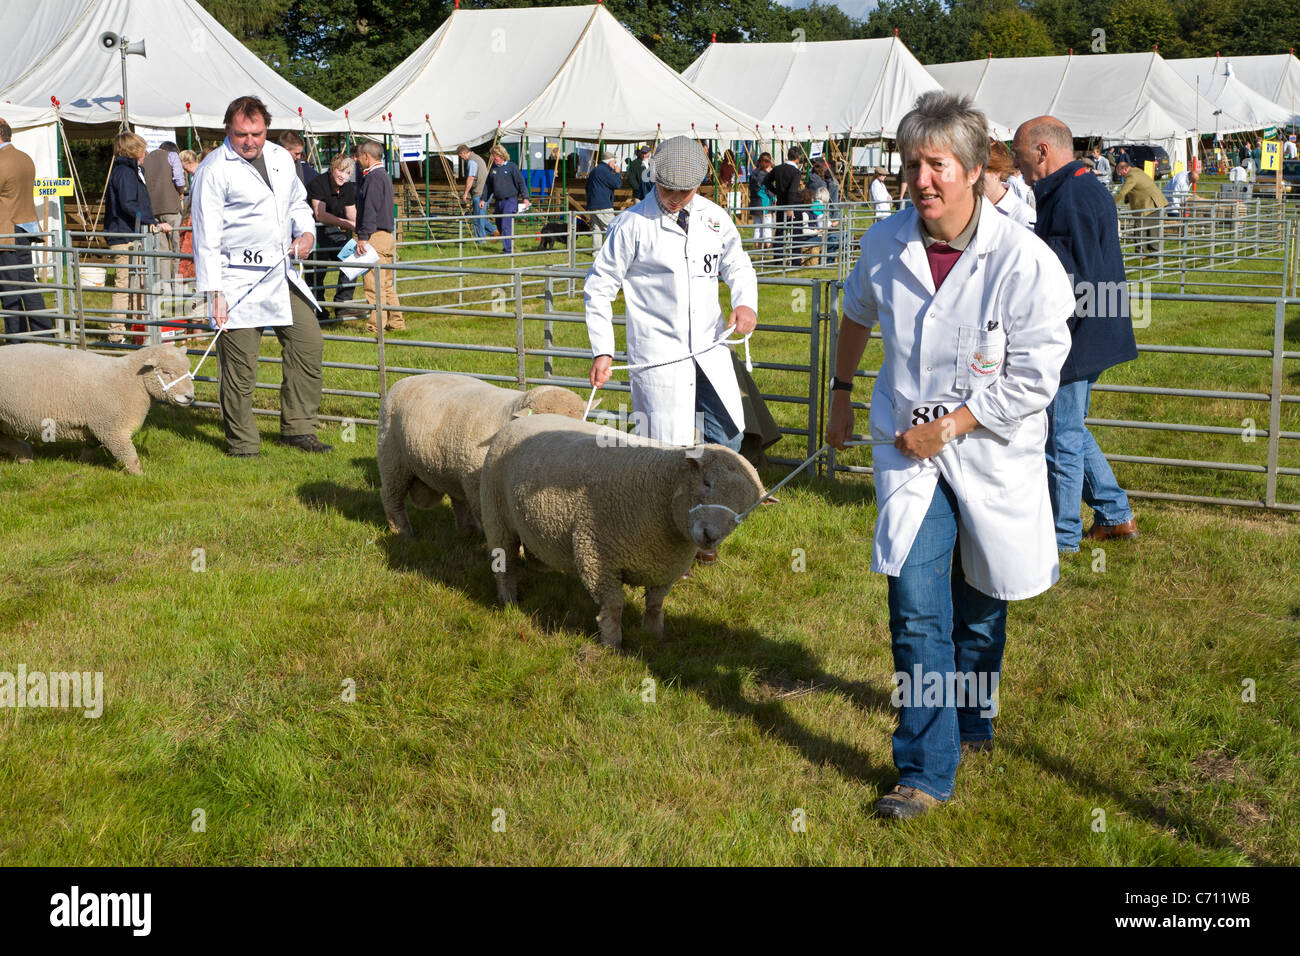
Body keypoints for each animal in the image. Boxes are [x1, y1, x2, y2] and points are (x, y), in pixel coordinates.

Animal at [0, 345, 195, 476]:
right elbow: (128, 454)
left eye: (188, 370)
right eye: (166, 372)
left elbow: (91, 445)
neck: (129, 380)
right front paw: (140, 476)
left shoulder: (98, 423)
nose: (190, 397)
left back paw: (24, 455)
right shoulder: (112, 428)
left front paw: (82, 463)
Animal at [379, 374, 587, 538]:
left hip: (451, 469)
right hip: (392, 459)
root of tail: (403, 381)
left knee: (458, 500)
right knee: (391, 497)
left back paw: (469, 530)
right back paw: (402, 531)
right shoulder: (479, 486)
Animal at [480, 416, 764, 647]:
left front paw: (654, 634)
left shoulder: (666, 568)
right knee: (505, 564)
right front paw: (612, 644)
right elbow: (615, 606)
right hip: (496, 516)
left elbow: (655, 604)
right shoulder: (597, 557)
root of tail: (521, 420)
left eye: (745, 512)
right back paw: (508, 600)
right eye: (706, 483)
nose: (709, 537)